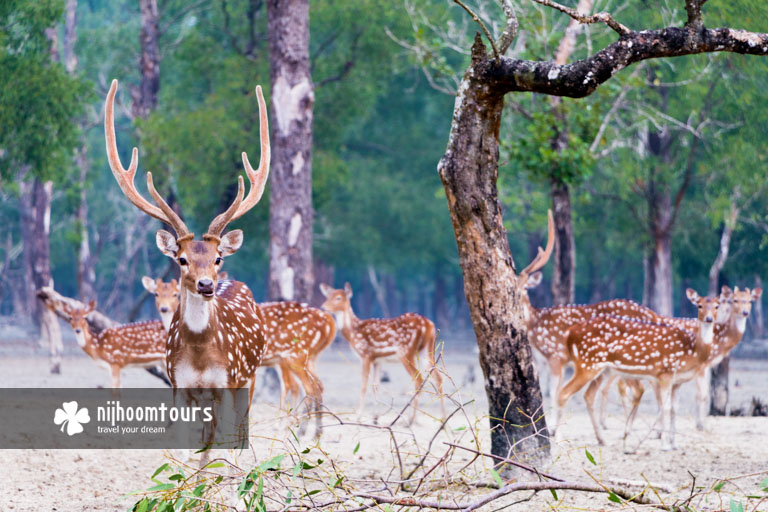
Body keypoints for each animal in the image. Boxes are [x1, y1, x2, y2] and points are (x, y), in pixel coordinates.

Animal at [102, 77, 270, 452]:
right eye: (181, 259)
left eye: (218, 258)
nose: (207, 284)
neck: (200, 356)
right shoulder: (178, 384)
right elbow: (183, 444)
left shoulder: (227, 382)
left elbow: (222, 444)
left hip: (250, 377)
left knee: (242, 433)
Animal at [318, 282, 444, 422]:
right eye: (328, 296)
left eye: (338, 298)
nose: (323, 307)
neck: (353, 332)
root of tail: (430, 325)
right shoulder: (377, 360)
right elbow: (375, 386)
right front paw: (375, 417)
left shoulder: (365, 354)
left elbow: (364, 385)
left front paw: (359, 416)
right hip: (426, 350)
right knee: (438, 378)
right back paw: (442, 418)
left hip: (406, 351)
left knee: (419, 379)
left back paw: (411, 420)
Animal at [556, 290, 716, 450]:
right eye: (699, 305)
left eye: (717, 306)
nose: (709, 319)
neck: (692, 352)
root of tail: (569, 333)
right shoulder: (666, 372)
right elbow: (665, 407)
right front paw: (665, 445)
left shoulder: (678, 381)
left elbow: (674, 409)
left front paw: (674, 444)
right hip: (587, 364)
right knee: (563, 393)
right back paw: (558, 436)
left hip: (602, 369)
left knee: (588, 395)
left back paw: (602, 439)